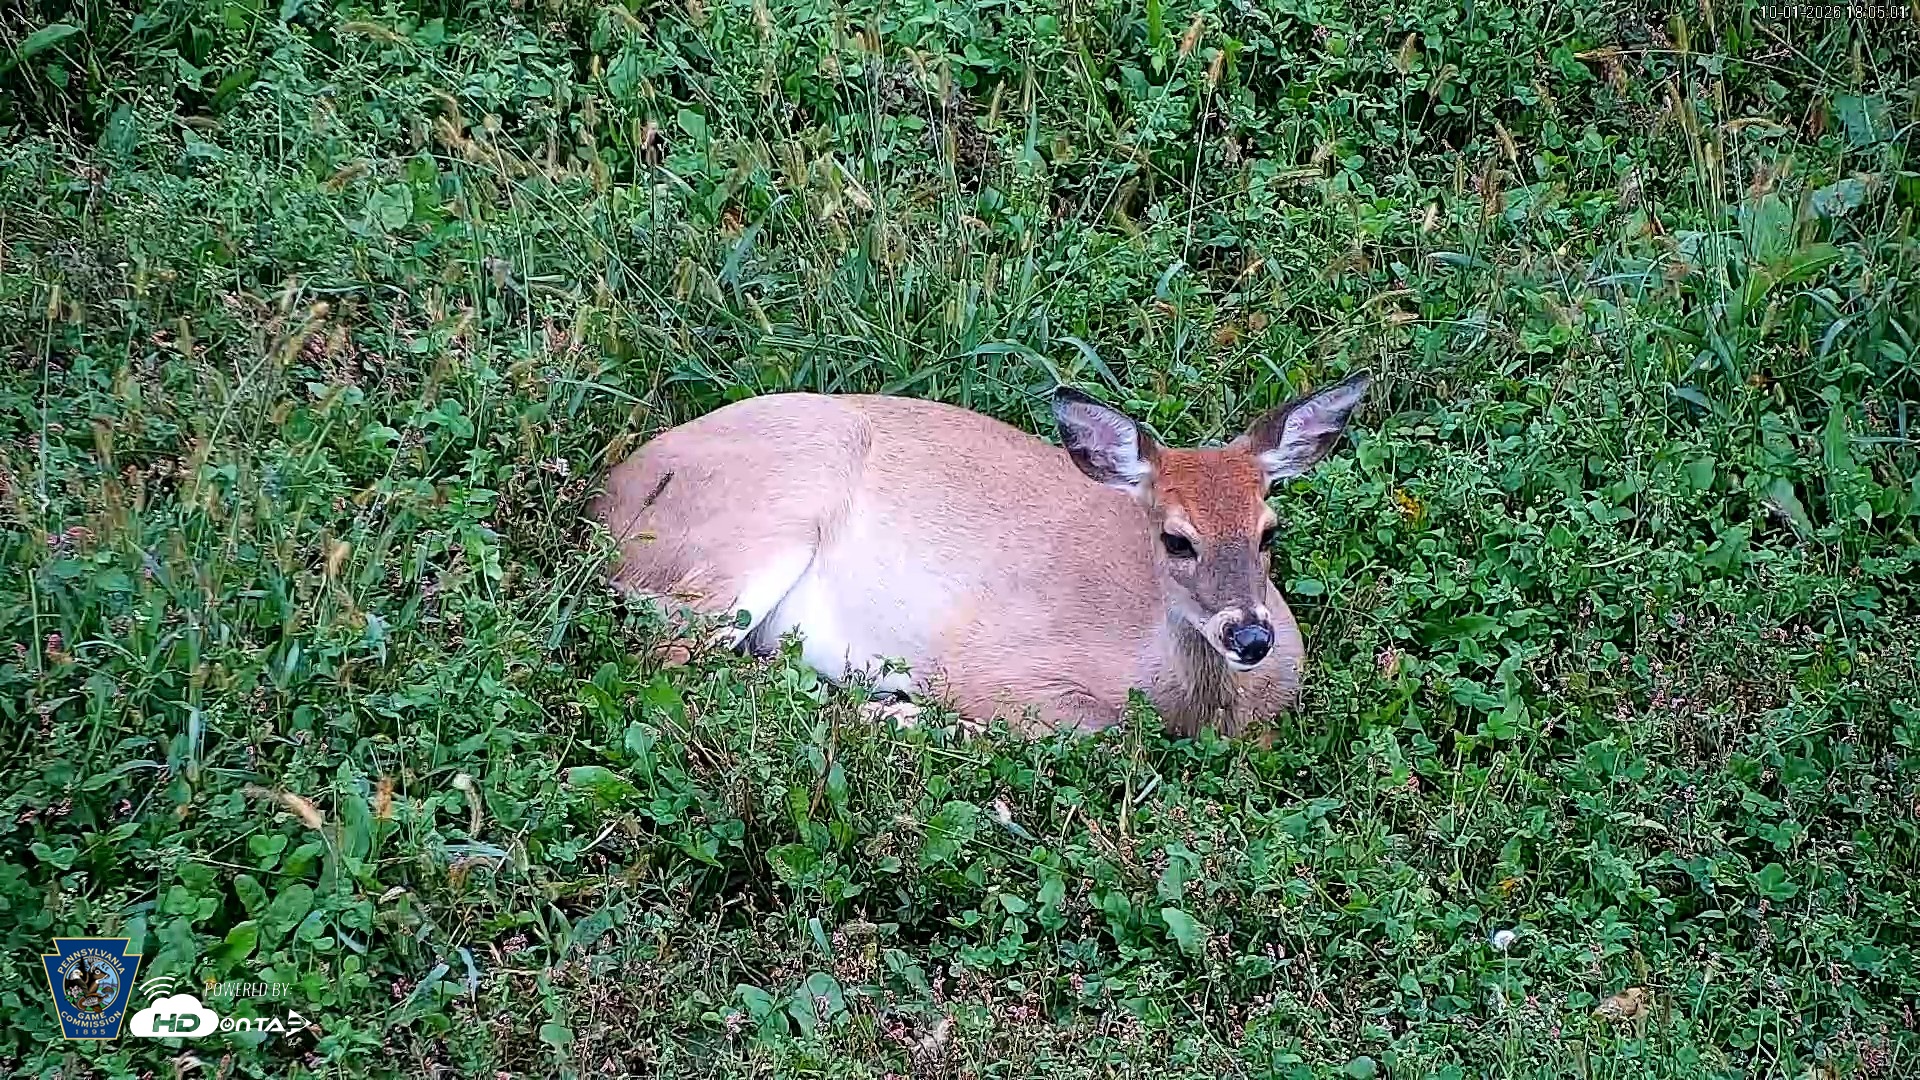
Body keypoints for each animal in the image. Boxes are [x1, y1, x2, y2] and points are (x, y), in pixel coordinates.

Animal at [593, 373, 1371, 736]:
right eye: (1176, 538)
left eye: (1269, 529)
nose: (1251, 636)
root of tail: (607, 500)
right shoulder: (993, 669)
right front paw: (906, 708)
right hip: (748, 540)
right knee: (673, 665)